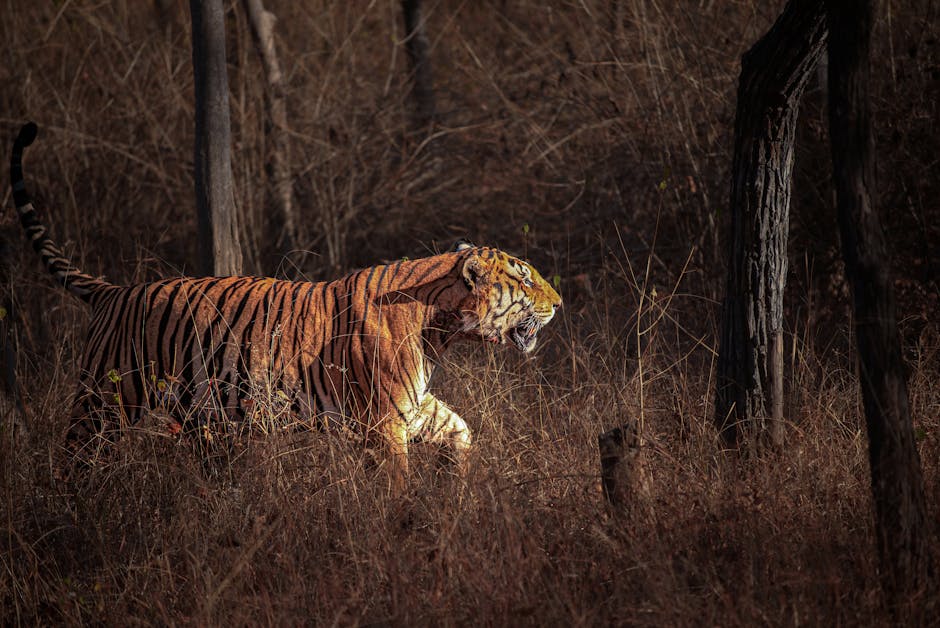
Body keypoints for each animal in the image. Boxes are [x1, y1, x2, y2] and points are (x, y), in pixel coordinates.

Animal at [10, 122, 562, 488]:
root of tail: (113, 291)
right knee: (73, 459)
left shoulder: (414, 407)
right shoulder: (383, 421)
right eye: (524, 277)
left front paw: (456, 485)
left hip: (198, 416)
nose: (559, 302)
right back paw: (71, 511)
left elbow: (461, 430)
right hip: (103, 403)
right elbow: (396, 485)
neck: (440, 328)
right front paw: (406, 527)